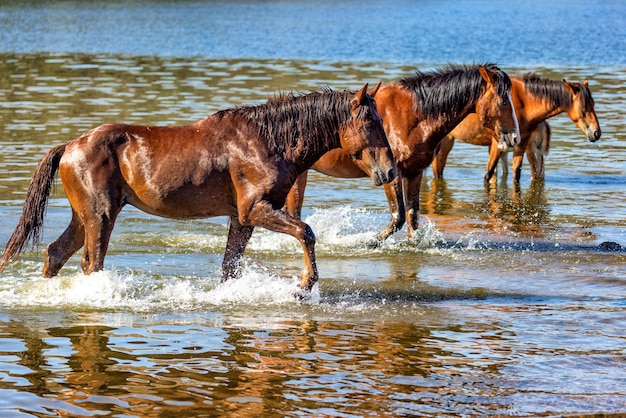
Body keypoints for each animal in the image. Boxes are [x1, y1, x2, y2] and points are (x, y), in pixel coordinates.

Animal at [0, 84, 394, 294]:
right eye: (370, 122)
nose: (389, 170)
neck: (268, 141)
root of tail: (70, 146)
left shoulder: (242, 218)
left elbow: (230, 265)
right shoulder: (256, 209)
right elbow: (306, 232)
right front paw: (305, 284)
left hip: (84, 216)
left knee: (55, 253)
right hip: (100, 216)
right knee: (90, 263)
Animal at [286, 63, 520, 243]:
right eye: (503, 101)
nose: (515, 138)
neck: (414, 116)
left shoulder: (414, 172)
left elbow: (412, 215)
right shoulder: (392, 174)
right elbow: (398, 217)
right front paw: (370, 242)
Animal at [428, 73, 600, 181]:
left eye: (593, 103)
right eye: (584, 107)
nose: (596, 133)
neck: (524, 104)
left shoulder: (521, 144)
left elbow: (516, 173)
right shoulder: (497, 144)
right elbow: (488, 174)